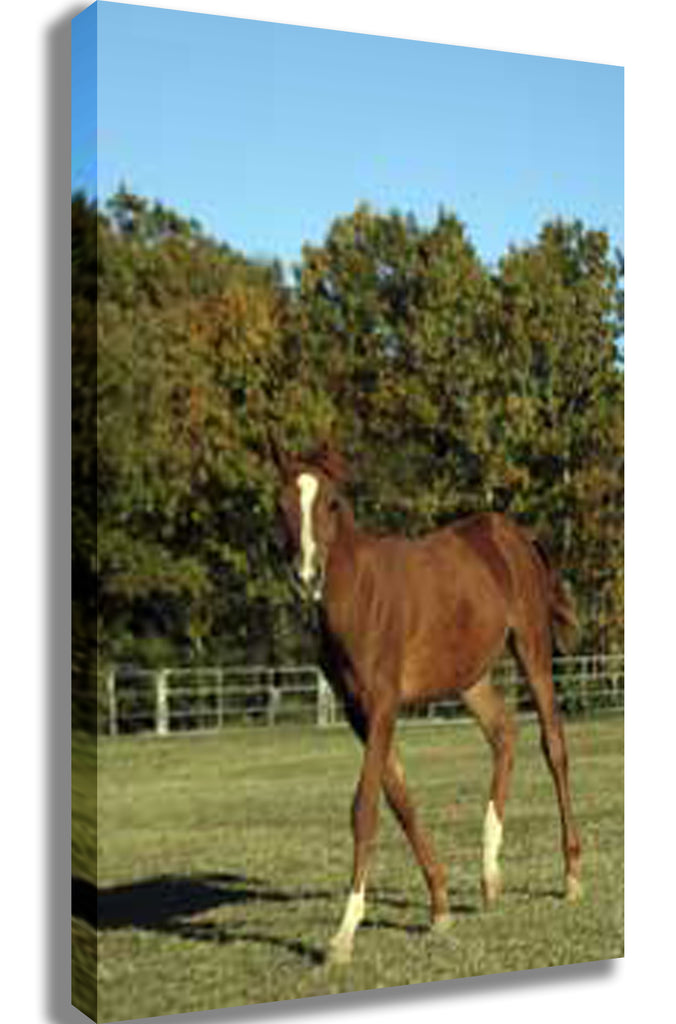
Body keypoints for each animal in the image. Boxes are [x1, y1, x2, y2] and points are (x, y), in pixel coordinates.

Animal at [271, 440, 582, 965]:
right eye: (282, 505)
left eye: (331, 502)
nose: (308, 576)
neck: (359, 596)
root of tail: (513, 534)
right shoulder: (358, 712)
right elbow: (400, 799)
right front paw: (440, 906)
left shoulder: (382, 704)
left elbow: (365, 808)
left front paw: (343, 935)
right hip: (469, 678)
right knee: (504, 734)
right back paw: (490, 877)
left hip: (531, 647)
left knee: (553, 745)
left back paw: (572, 876)